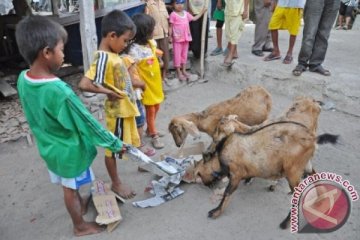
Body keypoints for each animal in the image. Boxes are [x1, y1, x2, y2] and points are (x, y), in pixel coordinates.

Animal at [194, 97, 338, 229]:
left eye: (198, 173)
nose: (207, 185)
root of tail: (312, 139)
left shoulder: (236, 173)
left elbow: (227, 193)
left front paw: (215, 212)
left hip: (293, 171)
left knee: (299, 194)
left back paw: (285, 222)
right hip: (305, 165)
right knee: (316, 177)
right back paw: (322, 201)